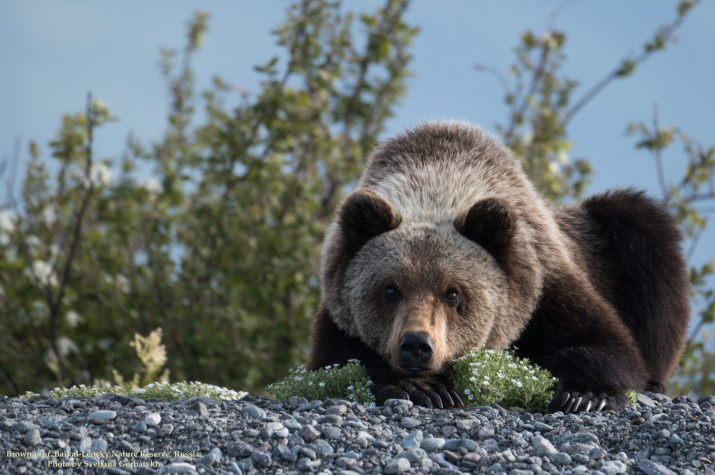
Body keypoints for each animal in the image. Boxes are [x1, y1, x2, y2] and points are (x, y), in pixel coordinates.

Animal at [308, 121, 692, 414]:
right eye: (390, 289)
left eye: (453, 293)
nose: (416, 344)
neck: (437, 181)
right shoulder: (339, 304)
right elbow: (335, 359)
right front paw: (424, 389)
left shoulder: (541, 282)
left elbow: (602, 341)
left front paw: (584, 395)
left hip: (607, 242)